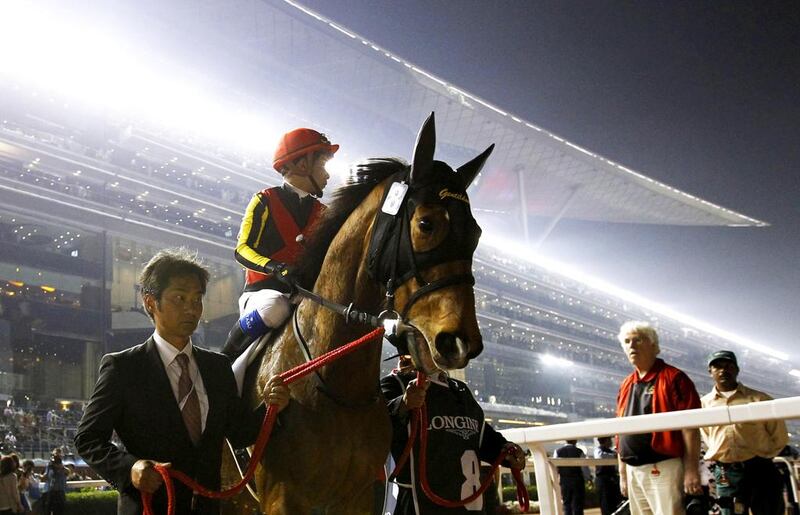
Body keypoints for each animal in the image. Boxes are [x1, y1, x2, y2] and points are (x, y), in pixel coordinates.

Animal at [238, 114, 490, 515]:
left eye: (477, 233)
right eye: (426, 223)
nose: (460, 342)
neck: (335, 384)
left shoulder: (361, 495)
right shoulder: (281, 498)